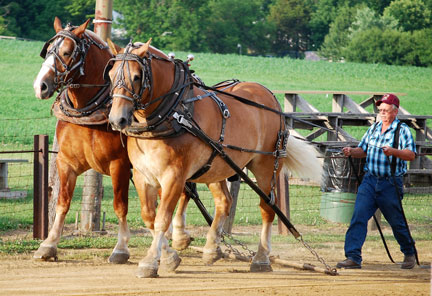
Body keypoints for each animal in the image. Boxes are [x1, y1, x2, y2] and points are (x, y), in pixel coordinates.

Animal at [34, 17, 193, 264]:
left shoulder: (119, 165)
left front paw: (121, 248)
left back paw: (180, 236)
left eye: (68, 52)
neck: (89, 112)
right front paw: (48, 245)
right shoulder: (66, 163)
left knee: (185, 193)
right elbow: (62, 202)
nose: (40, 85)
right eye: (48, 50)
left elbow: (120, 206)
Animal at [105, 39, 324, 278]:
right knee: (224, 202)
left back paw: (261, 258)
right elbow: (149, 218)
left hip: (266, 166)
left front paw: (151, 262)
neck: (174, 114)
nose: (117, 119)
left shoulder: (174, 177)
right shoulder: (143, 176)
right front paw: (170, 256)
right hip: (217, 164)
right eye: (111, 74)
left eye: (137, 76)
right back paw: (211, 248)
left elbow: (162, 219)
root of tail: (271, 98)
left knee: (267, 209)